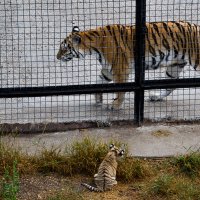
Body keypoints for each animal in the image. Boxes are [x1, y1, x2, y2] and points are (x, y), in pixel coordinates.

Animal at [56, 21, 200, 109]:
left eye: (64, 48)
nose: (57, 57)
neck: (94, 46)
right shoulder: (107, 70)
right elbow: (98, 82)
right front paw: (98, 99)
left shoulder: (120, 69)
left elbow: (120, 90)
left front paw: (115, 105)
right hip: (174, 66)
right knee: (171, 85)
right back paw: (156, 96)